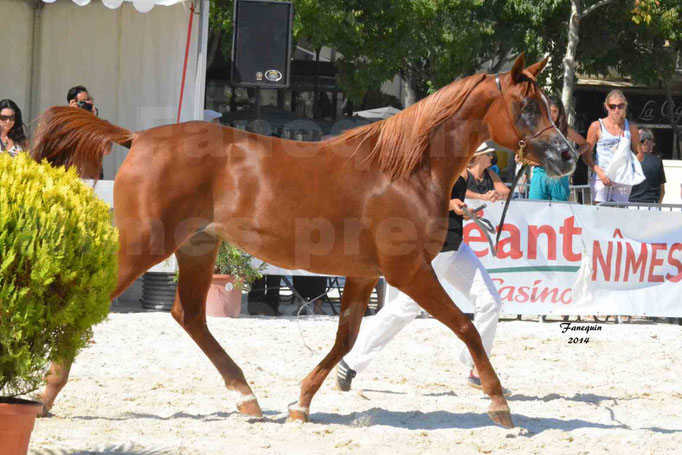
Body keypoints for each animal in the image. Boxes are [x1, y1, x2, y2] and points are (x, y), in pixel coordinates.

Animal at [30, 55, 572, 430]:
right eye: (528, 106)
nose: (568, 156)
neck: (404, 170)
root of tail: (138, 138)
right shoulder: (407, 270)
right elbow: (465, 326)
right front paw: (499, 404)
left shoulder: (365, 273)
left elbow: (347, 337)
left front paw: (302, 402)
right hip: (145, 243)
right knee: (98, 303)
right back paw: (45, 395)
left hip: (197, 246)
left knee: (191, 316)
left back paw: (247, 398)